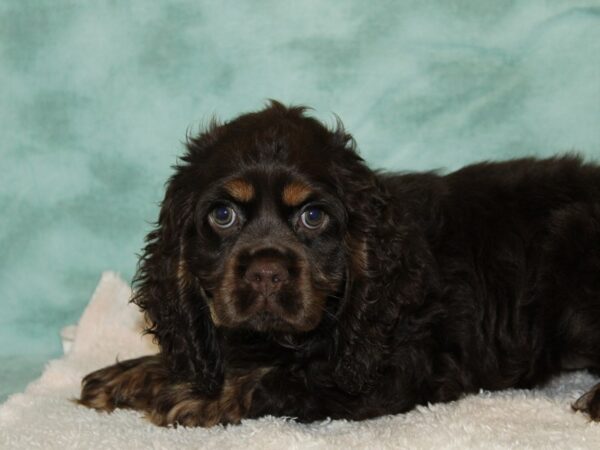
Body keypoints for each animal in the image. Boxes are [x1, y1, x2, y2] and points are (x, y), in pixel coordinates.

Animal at [77, 101, 600, 426]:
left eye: (313, 216)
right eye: (222, 215)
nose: (266, 272)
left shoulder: (394, 368)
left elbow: (282, 380)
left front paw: (198, 396)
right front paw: (132, 376)